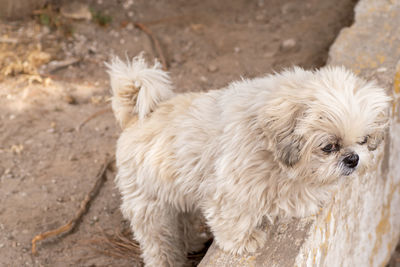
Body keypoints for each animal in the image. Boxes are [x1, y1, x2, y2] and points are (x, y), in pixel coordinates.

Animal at [106, 55, 390, 266]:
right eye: (329, 146)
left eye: (363, 140)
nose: (352, 159)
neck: (263, 135)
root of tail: (138, 117)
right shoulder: (231, 190)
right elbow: (234, 218)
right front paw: (243, 241)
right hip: (150, 208)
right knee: (159, 243)